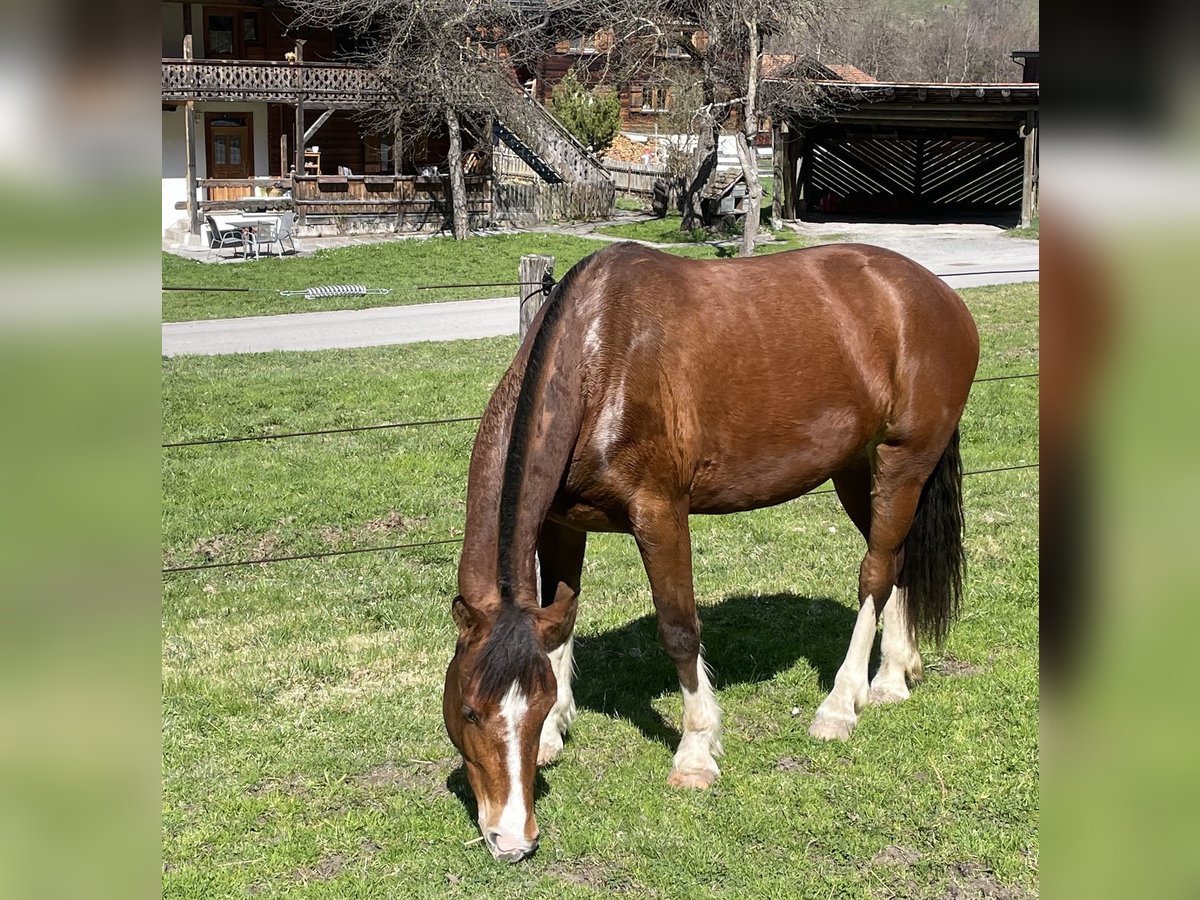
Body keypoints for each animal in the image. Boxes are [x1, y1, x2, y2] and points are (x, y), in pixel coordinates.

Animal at [442, 241, 979, 862]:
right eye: (469, 709)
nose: (512, 839)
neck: (599, 360)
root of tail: (937, 295)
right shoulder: (559, 525)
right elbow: (560, 620)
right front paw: (556, 733)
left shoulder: (660, 514)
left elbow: (679, 629)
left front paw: (696, 753)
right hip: (855, 466)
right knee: (891, 559)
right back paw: (894, 674)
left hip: (904, 461)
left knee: (874, 572)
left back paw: (842, 705)